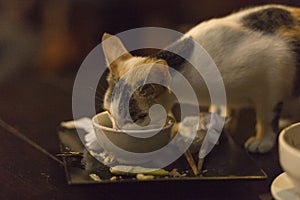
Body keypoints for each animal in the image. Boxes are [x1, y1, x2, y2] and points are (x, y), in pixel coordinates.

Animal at [101, 3, 300, 152]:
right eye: (110, 113)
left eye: (140, 117)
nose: (118, 132)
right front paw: (219, 123)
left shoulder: (275, 75)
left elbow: (267, 116)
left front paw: (263, 141)